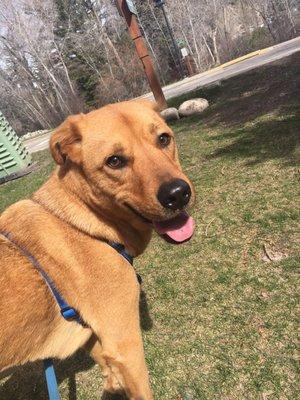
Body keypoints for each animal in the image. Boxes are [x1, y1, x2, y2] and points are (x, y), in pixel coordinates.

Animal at [0, 98, 196, 398]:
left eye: (163, 139)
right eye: (114, 161)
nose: (177, 194)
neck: (85, 225)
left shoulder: (91, 330)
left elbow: (105, 364)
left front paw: (113, 386)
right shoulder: (126, 344)